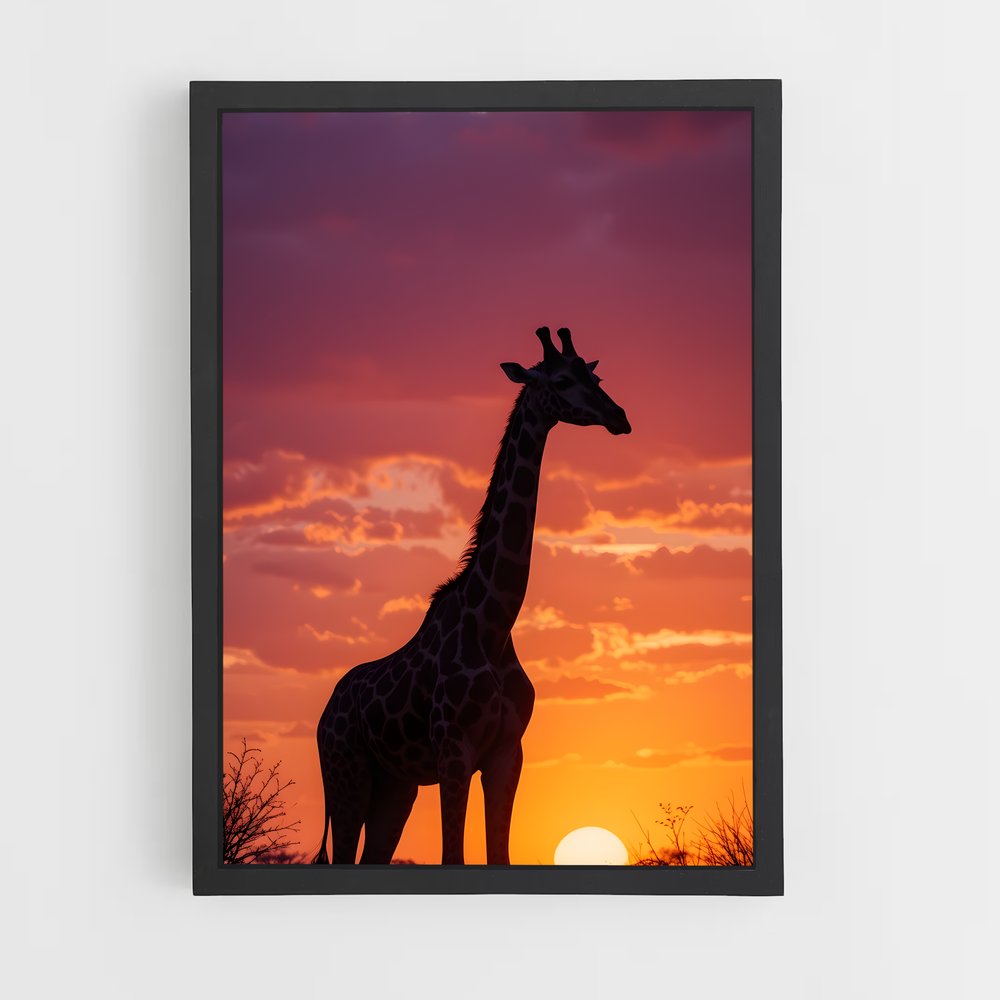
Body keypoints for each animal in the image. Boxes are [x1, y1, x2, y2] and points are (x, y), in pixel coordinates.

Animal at [314, 326, 631, 865]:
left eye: (597, 378)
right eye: (561, 381)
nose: (620, 417)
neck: (494, 624)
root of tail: (323, 714)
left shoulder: (507, 754)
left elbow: (499, 855)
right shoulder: (454, 752)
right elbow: (453, 855)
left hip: (394, 787)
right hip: (346, 777)